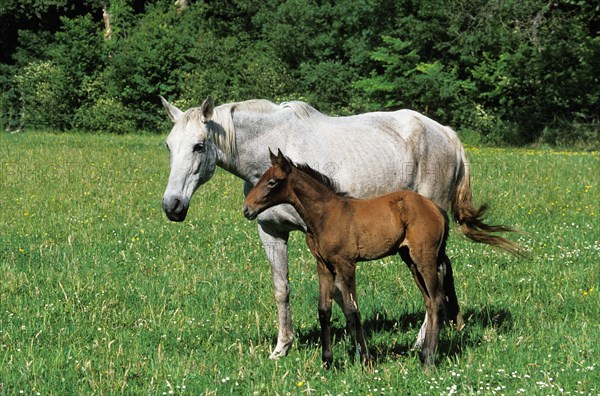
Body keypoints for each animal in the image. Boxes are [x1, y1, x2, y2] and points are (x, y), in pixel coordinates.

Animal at [245, 150, 468, 366]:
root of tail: (437, 209)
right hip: (410, 260)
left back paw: (428, 359)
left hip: (425, 259)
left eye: (272, 182)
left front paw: (365, 360)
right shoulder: (324, 265)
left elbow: (352, 310)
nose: (247, 209)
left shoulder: (346, 264)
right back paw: (423, 354)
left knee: (437, 301)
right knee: (429, 301)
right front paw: (327, 362)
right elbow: (324, 310)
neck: (326, 215)